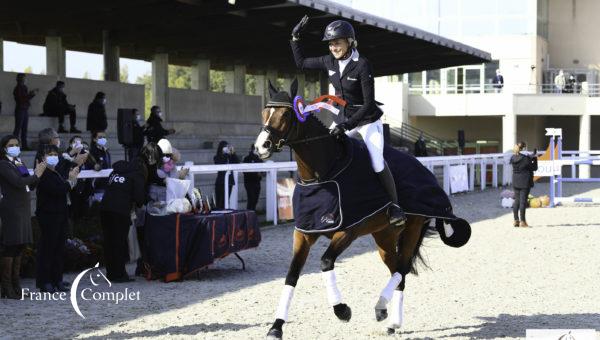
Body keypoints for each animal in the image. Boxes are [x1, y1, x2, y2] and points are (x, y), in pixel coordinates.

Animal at [253, 79, 446, 338]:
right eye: (265, 112)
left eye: (285, 114)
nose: (260, 147)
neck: (323, 173)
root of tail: (424, 169)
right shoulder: (303, 233)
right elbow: (292, 274)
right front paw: (276, 327)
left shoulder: (348, 231)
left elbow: (325, 262)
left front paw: (342, 310)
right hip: (384, 237)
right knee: (397, 271)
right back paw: (389, 319)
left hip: (412, 228)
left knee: (402, 270)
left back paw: (384, 311)